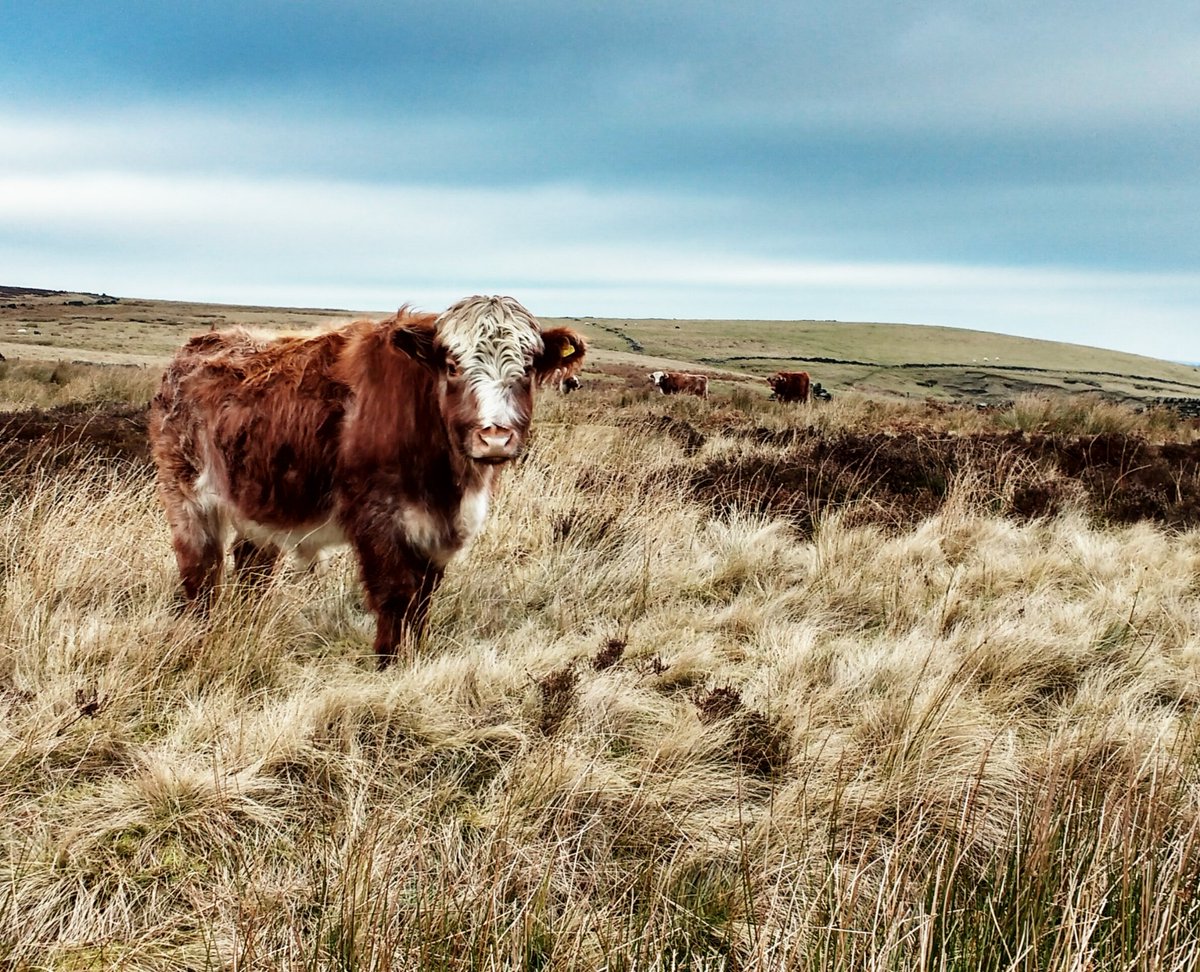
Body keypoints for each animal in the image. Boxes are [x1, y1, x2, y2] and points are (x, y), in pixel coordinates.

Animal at [149, 295, 586, 667]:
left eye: (527, 369)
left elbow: (421, 602)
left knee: (252, 566)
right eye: (453, 366)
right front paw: (388, 665)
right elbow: (395, 596)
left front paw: (412, 658)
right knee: (201, 568)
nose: (494, 436)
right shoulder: (380, 522)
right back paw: (200, 629)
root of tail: (196, 348)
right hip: (186, 497)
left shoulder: (433, 532)